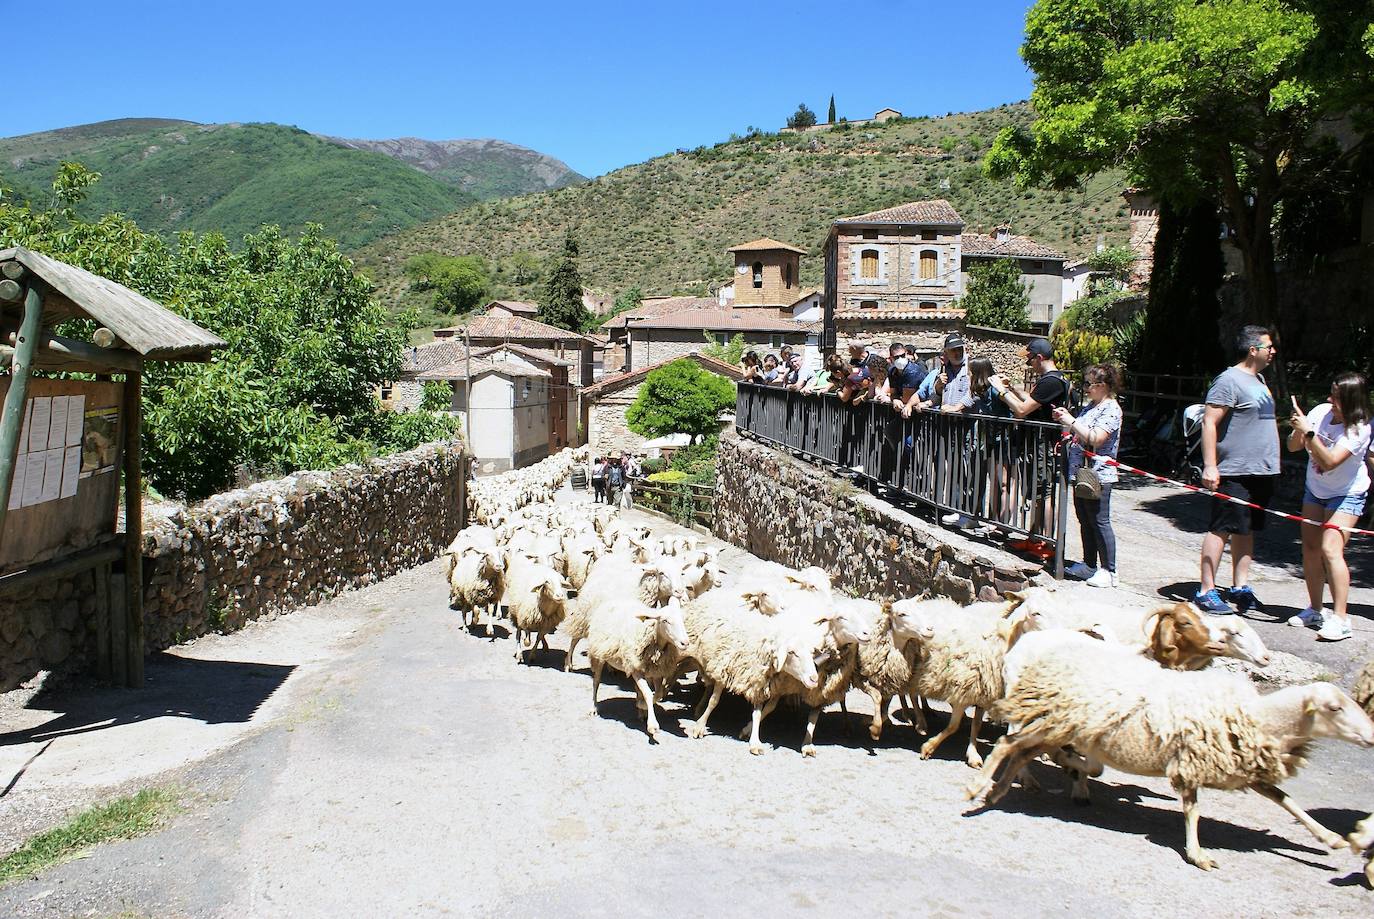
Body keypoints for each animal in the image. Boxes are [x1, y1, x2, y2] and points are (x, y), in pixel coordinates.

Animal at [967, 645, 1374, 868]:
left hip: (1055, 725)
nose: (1371, 735)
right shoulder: (1191, 762)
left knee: (1019, 752)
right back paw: (978, 789)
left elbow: (1287, 801)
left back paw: (1000, 790)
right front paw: (1198, 854)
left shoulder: (1243, 768)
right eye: (1335, 708)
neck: (1259, 718)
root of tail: (1046, 659)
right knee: (1007, 745)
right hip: (1052, 720)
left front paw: (1332, 838)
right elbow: (1193, 811)